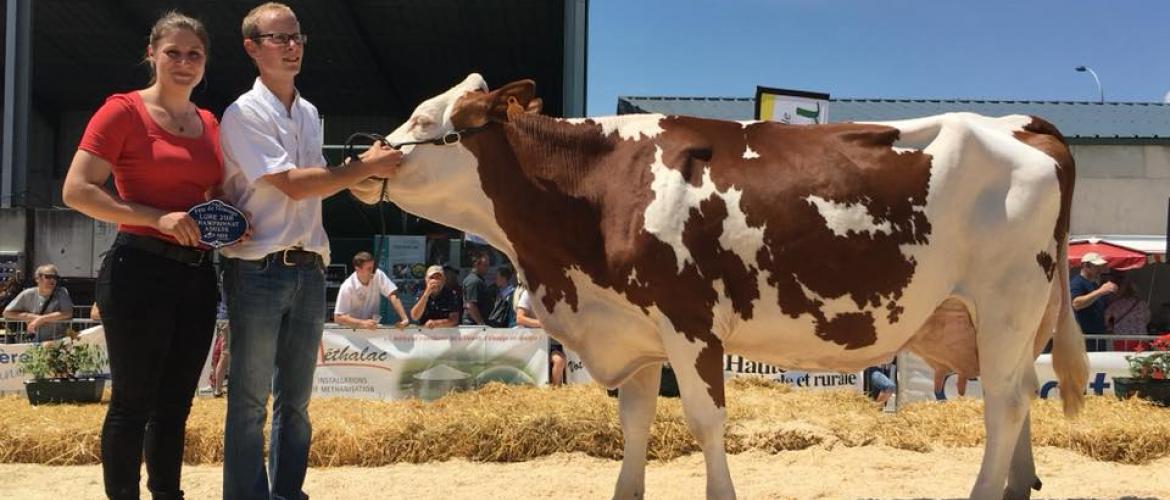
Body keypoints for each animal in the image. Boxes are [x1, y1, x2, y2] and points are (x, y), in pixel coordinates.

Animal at [351, 74, 1090, 500]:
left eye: (424, 121)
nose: (361, 153)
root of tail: (1019, 124)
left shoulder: (689, 322)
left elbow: (705, 421)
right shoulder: (634, 329)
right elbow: (635, 423)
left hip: (1005, 301)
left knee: (1002, 406)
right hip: (1003, 318)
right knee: (1022, 394)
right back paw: (1019, 488)